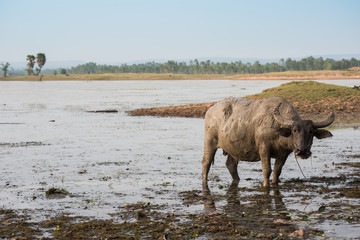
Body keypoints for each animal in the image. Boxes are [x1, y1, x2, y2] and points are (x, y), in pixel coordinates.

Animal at [202, 96, 334, 187]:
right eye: (294, 130)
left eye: (311, 131)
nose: (302, 151)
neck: (276, 129)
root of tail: (210, 110)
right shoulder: (264, 149)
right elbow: (267, 170)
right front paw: (266, 185)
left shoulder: (283, 154)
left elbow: (277, 170)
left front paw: (274, 184)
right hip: (209, 142)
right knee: (206, 162)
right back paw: (204, 180)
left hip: (233, 148)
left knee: (230, 164)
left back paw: (237, 179)